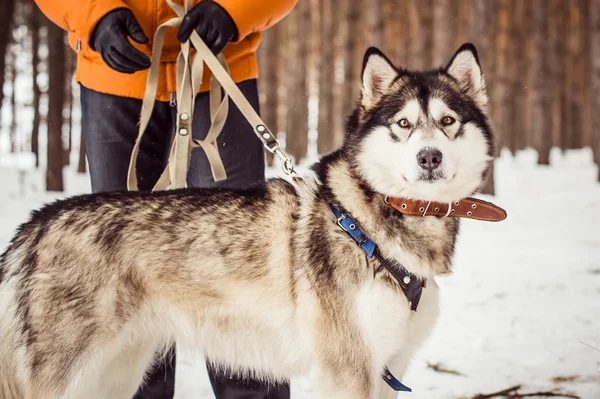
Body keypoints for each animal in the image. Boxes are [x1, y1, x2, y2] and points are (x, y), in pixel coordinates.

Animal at [0, 42, 492, 398]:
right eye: (403, 124)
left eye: (448, 121)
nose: (430, 157)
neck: (370, 226)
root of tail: (35, 224)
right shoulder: (348, 369)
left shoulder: (388, 365)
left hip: (119, 372)